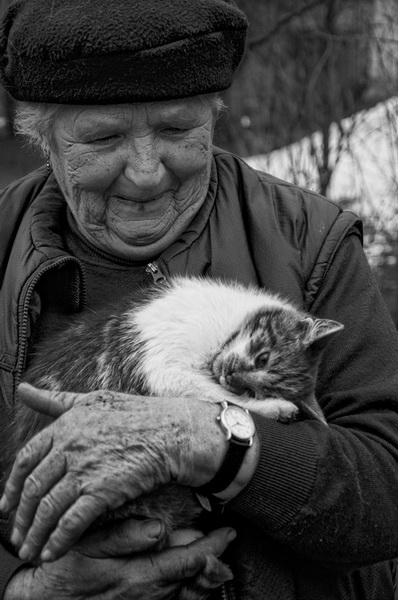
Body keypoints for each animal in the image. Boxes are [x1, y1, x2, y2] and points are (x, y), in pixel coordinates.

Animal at [12, 276, 342, 600]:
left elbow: (222, 396)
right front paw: (276, 407)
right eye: (262, 358)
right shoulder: (167, 368)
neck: (220, 340)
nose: (231, 375)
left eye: (253, 389)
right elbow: (213, 393)